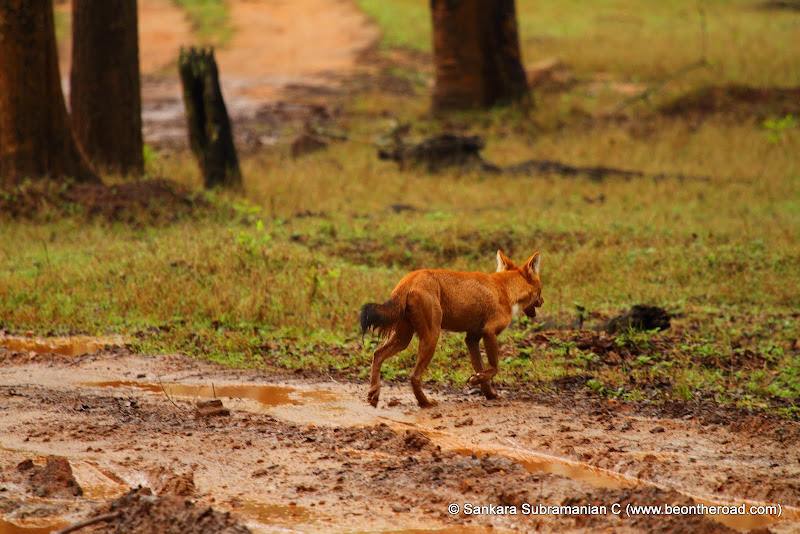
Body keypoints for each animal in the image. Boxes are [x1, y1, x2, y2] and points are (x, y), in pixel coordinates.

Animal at [360, 251, 540, 410]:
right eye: (541, 289)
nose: (543, 301)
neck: (506, 287)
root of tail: (408, 280)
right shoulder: (489, 332)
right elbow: (494, 367)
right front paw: (476, 380)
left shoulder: (472, 338)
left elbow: (482, 370)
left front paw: (489, 393)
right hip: (431, 336)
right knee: (414, 376)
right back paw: (425, 403)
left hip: (403, 338)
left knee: (378, 354)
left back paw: (374, 394)